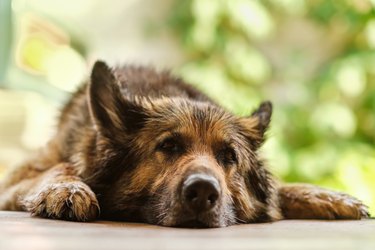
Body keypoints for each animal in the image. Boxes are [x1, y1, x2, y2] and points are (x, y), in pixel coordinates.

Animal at [0, 61, 370, 228]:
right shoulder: (17, 178)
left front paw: (322, 195)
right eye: (168, 146)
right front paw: (66, 188)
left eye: (228, 156)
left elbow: (280, 189)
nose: (203, 191)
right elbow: (60, 166)